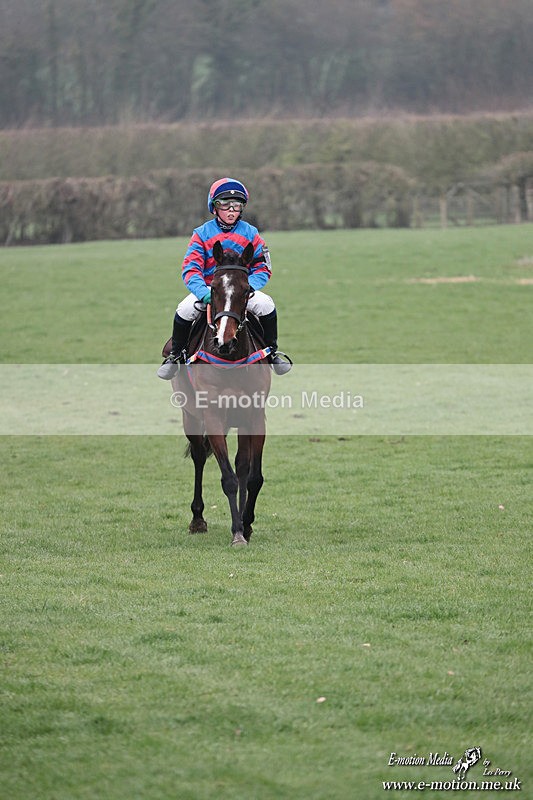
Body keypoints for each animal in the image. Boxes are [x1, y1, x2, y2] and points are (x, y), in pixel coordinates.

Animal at [171, 240, 272, 546]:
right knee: (198, 456)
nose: (223, 341)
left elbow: (252, 476)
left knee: (241, 466)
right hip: (191, 416)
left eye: (247, 289)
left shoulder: (255, 417)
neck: (231, 360)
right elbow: (227, 478)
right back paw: (197, 519)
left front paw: (246, 524)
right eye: (214, 287)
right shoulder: (213, 417)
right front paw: (237, 531)